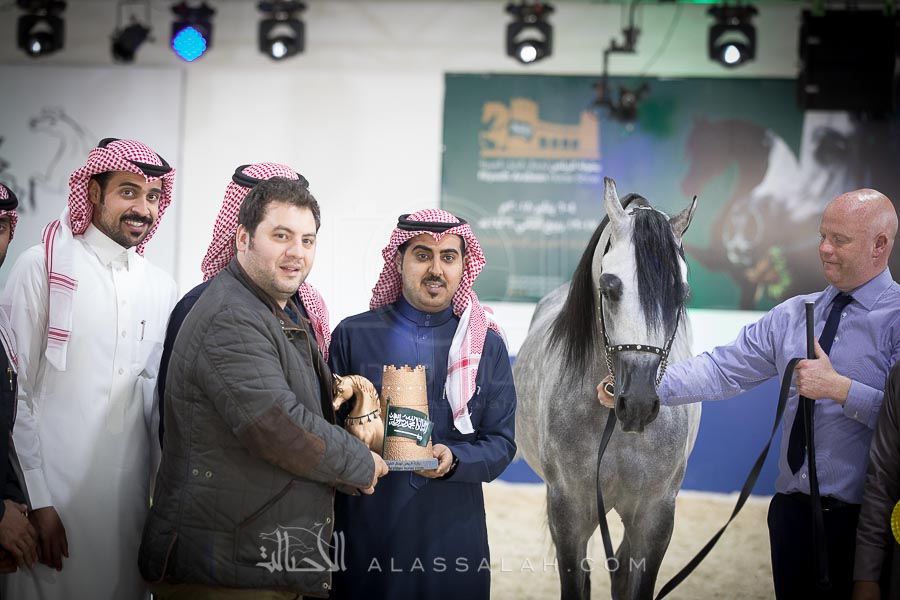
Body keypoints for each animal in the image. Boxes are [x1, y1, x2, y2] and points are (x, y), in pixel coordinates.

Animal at [514, 177, 701, 600]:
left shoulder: (655, 515)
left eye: (681, 295)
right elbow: (575, 580)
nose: (639, 404)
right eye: (609, 287)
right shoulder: (569, 511)